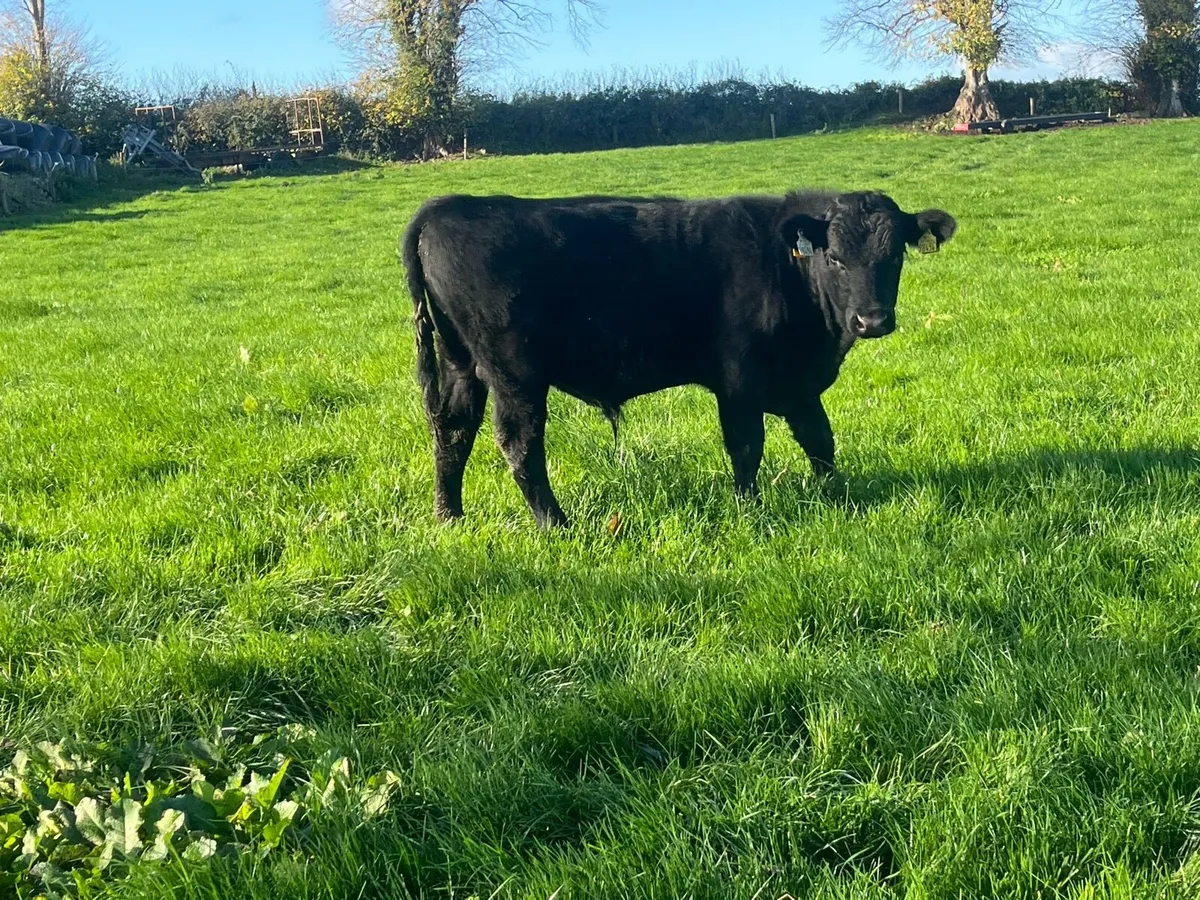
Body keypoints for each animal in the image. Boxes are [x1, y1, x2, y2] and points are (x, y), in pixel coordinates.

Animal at [401, 189, 956, 528]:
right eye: (835, 258)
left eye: (895, 255)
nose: (872, 320)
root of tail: (450, 206)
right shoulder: (738, 377)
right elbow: (746, 446)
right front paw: (750, 509)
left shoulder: (797, 384)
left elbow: (820, 439)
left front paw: (836, 496)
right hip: (514, 373)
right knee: (519, 445)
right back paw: (556, 524)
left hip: (462, 365)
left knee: (452, 433)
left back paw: (450, 516)